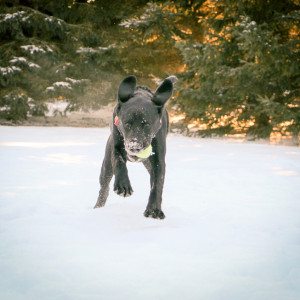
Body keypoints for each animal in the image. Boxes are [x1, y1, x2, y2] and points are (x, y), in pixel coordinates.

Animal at [92, 75, 175, 218]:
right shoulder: (116, 147)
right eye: (127, 124)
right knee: (104, 188)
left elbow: (157, 184)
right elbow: (119, 162)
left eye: (146, 125)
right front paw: (123, 185)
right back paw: (98, 207)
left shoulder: (158, 160)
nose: (134, 146)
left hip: (149, 164)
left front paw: (154, 209)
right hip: (106, 166)